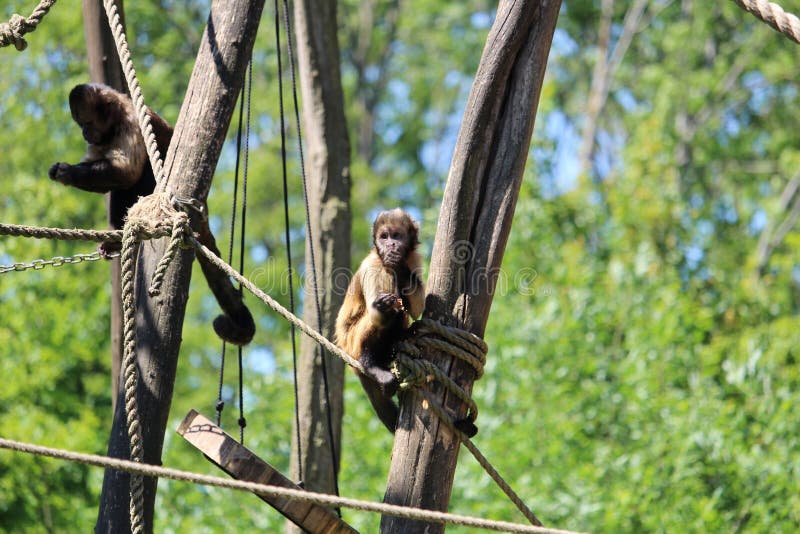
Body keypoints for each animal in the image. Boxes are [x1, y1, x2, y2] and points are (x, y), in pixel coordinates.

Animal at [50, 84, 255, 348]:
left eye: (86, 122)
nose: (85, 132)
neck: (115, 119)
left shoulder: (131, 123)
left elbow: (125, 173)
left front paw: (66, 173)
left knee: (139, 174)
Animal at [336, 207, 428, 434]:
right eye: (384, 237)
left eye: (396, 236)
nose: (390, 245)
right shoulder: (374, 265)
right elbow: (377, 314)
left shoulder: (414, 258)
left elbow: (417, 307)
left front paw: (400, 266)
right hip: (352, 344)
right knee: (389, 313)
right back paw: (371, 364)